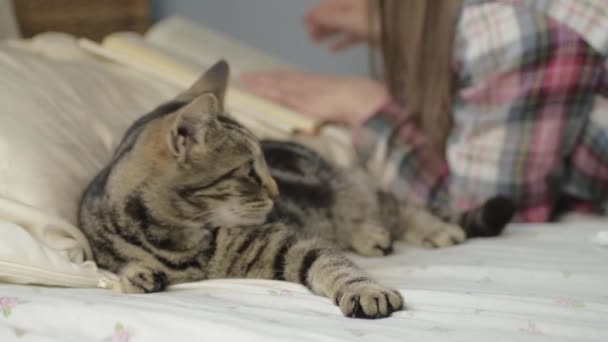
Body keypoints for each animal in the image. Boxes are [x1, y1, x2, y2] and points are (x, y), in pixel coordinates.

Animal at [78, 60, 516, 320]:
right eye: (249, 171)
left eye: (265, 165)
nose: (275, 192)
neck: (176, 240)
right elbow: (113, 266)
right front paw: (137, 273)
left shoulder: (291, 242)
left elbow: (335, 264)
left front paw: (365, 290)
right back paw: (372, 236)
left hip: (348, 185)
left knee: (394, 205)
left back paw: (431, 229)